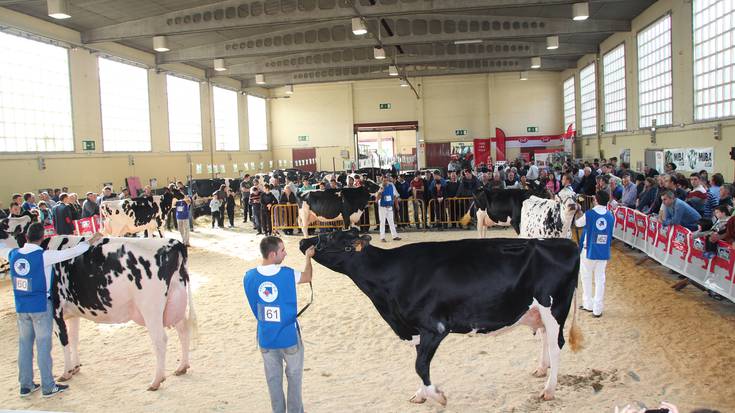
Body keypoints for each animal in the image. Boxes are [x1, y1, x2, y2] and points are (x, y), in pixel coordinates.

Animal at [0, 229, 197, 390]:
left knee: (160, 340)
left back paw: (156, 381)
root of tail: (174, 243)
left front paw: (66, 372)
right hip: (175, 302)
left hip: (151, 308)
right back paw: (182, 367)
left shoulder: (55, 310)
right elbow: (74, 338)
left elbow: (64, 340)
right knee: (183, 331)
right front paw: (76, 367)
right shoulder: (73, 314)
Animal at [298, 229, 580, 406]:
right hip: (536, 310)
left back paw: (548, 390)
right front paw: (420, 394)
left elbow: (420, 365)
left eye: (331, 236)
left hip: (555, 307)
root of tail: (565, 243)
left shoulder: (434, 328)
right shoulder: (413, 330)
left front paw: (437, 396)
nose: (302, 242)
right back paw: (541, 370)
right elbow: (418, 362)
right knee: (544, 337)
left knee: (556, 345)